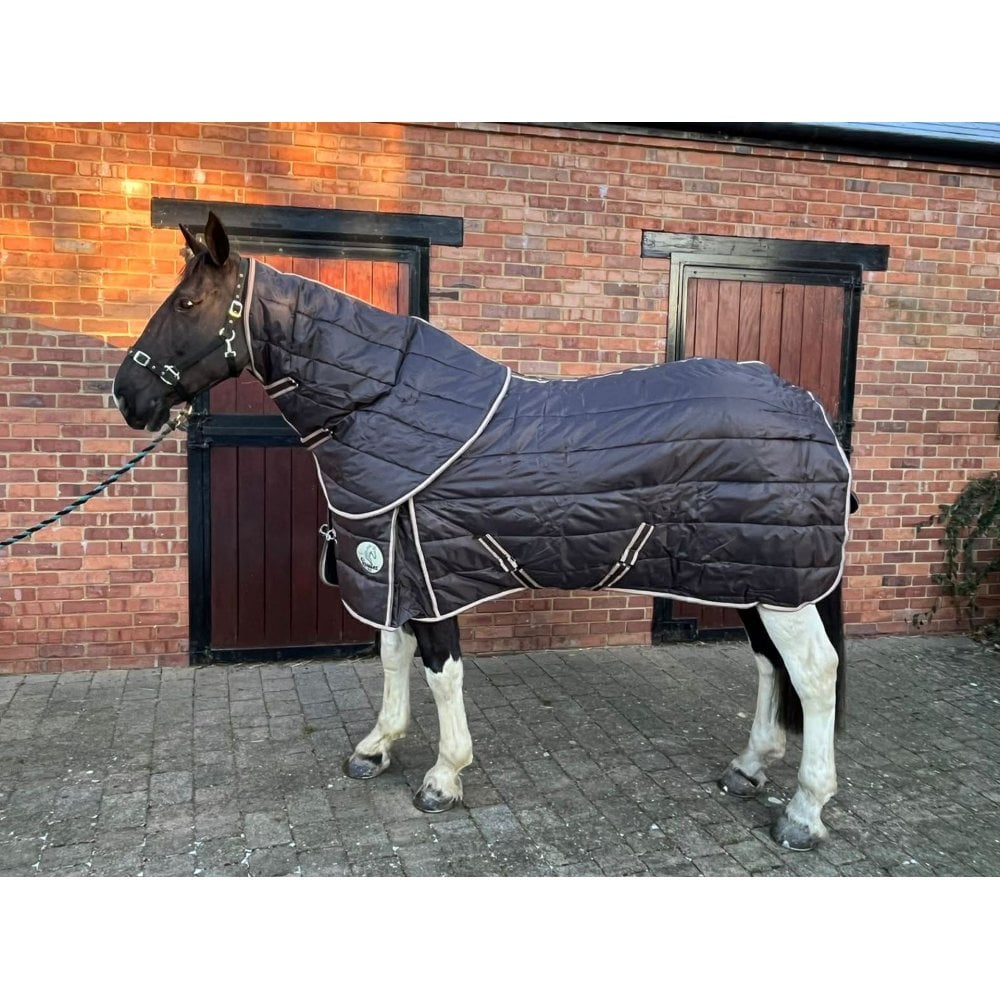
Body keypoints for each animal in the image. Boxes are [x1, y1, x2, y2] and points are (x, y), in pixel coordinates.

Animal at [112, 212, 851, 851]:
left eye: (186, 302)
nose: (125, 395)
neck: (382, 405)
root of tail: (807, 409)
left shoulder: (430, 572)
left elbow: (441, 673)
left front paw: (443, 778)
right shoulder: (391, 563)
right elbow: (392, 655)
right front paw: (377, 747)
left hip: (779, 583)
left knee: (814, 674)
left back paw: (805, 812)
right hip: (751, 575)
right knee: (769, 663)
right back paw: (749, 767)